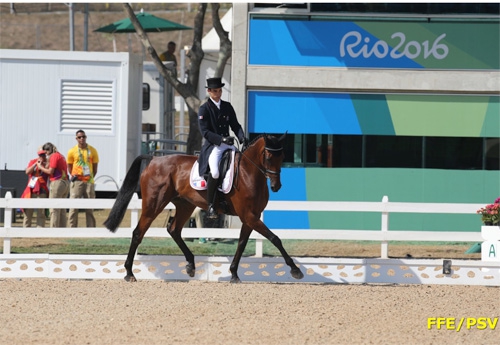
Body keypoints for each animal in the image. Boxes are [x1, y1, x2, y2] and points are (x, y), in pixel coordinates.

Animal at [103, 134, 302, 282]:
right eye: (268, 157)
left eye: (282, 157)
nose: (276, 186)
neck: (248, 172)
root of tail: (153, 160)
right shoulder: (249, 215)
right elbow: (275, 238)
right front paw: (295, 270)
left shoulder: (251, 217)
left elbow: (241, 243)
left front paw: (234, 274)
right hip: (154, 205)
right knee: (138, 233)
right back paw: (129, 273)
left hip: (185, 205)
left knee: (174, 230)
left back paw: (191, 265)